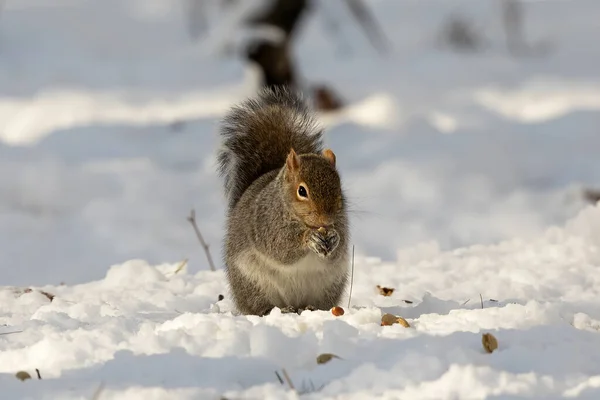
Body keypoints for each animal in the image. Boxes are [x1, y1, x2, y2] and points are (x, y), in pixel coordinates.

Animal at [218, 86, 352, 316]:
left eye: (339, 187)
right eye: (302, 191)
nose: (326, 220)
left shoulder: (342, 222)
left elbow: (337, 249)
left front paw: (334, 237)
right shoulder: (267, 222)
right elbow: (280, 248)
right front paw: (309, 238)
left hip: (330, 285)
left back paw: (311, 308)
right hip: (252, 282)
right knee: (259, 305)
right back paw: (277, 310)